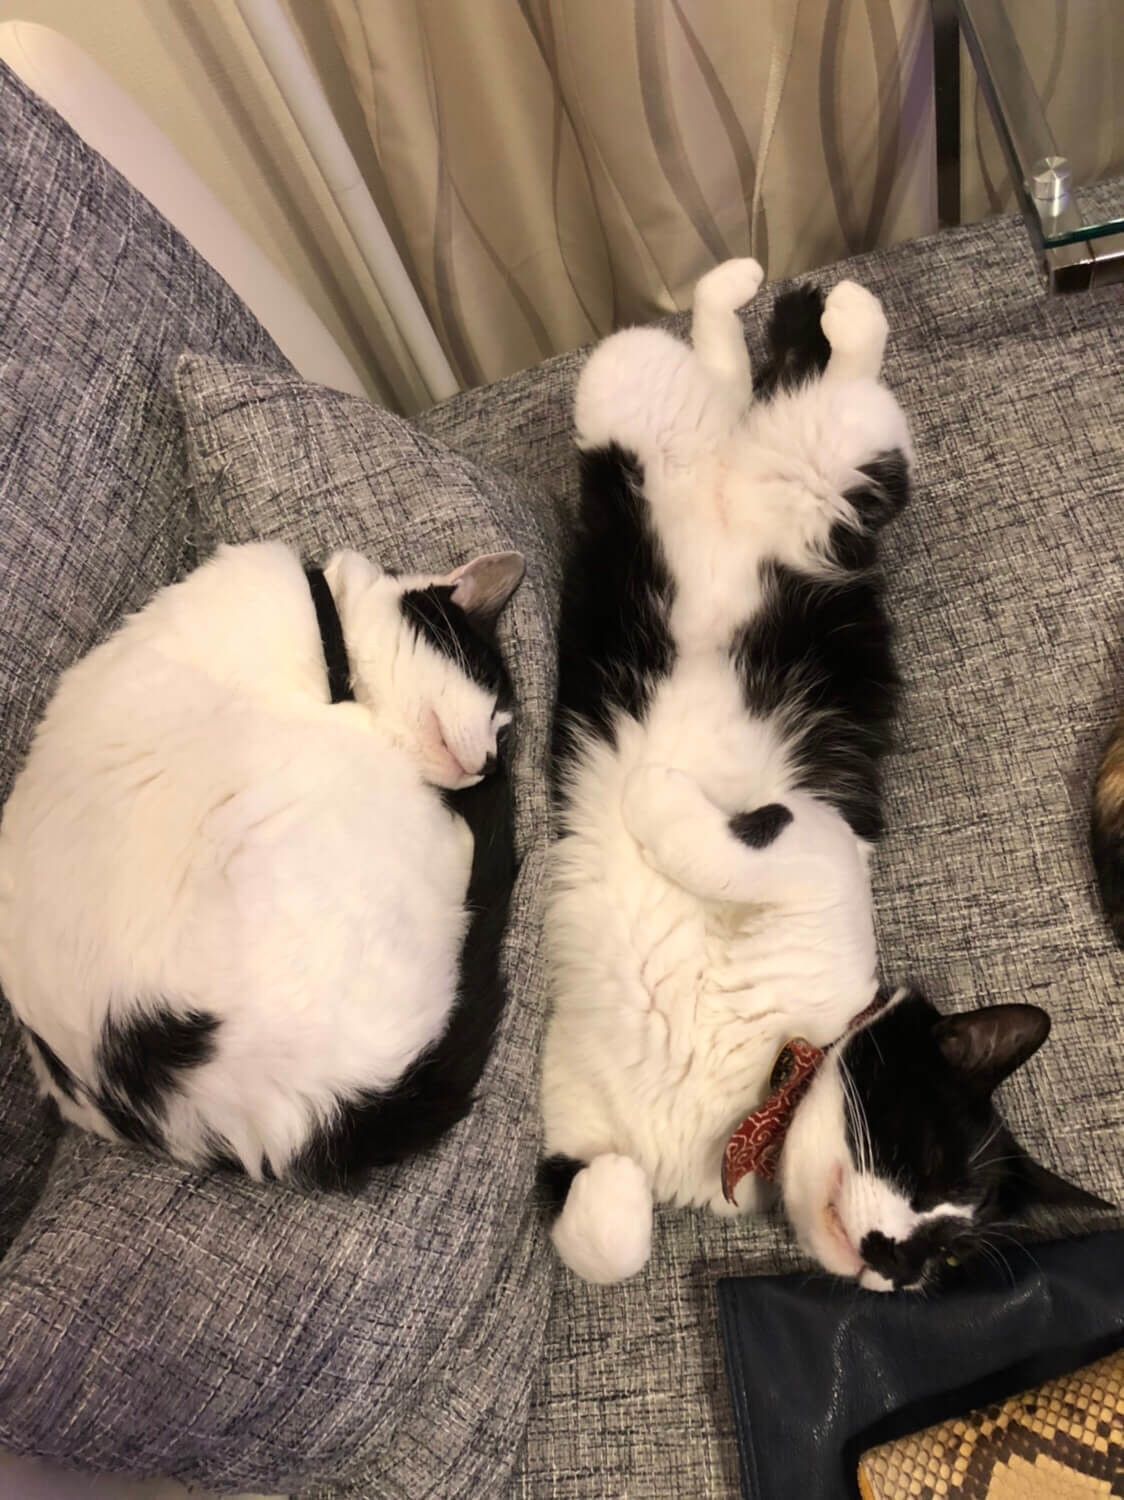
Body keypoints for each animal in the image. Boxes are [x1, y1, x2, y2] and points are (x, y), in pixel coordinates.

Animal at [541, 260, 1105, 1290]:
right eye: (927, 1163)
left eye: (951, 1252)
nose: (897, 1262)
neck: (755, 1098)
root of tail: (740, 462)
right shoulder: (818, 849)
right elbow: (747, 838)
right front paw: (652, 794)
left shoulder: (575, 1118)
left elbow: (606, 1234)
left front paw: (617, 1188)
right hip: (681, 412)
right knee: (835, 382)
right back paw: (828, 304)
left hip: (719, 424)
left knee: (741, 380)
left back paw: (758, 313)